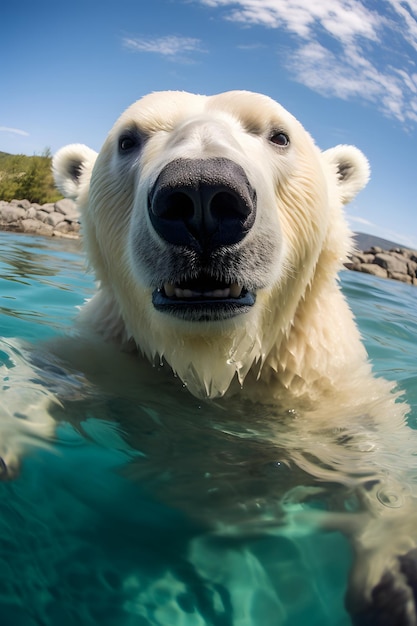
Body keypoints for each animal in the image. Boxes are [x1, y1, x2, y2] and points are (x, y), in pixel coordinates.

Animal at [4, 90, 414, 620]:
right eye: (128, 139)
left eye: (279, 136)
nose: (201, 196)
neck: (214, 364)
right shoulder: (113, 352)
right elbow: (47, 368)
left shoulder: (322, 386)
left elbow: (379, 454)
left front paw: (400, 580)